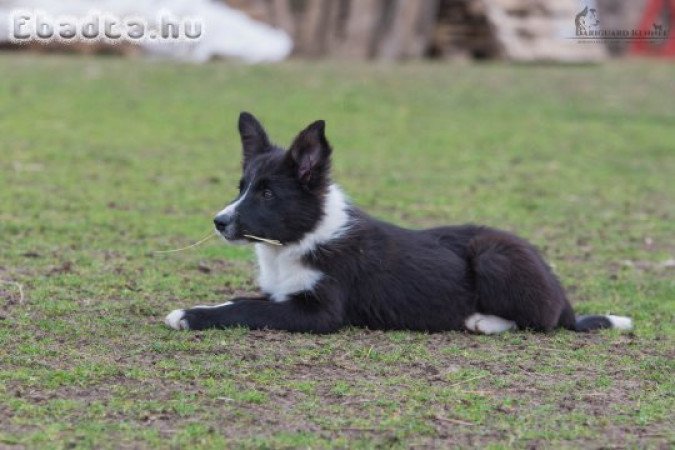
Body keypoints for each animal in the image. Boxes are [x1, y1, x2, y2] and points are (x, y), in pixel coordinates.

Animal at [165, 113, 632, 334]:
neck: (302, 237)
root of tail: (563, 296)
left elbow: (243, 309)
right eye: (242, 187)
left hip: (495, 256)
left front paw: (187, 315)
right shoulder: (281, 293)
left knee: (543, 321)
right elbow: (240, 300)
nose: (219, 222)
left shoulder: (320, 313)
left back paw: (483, 321)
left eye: (266, 194)